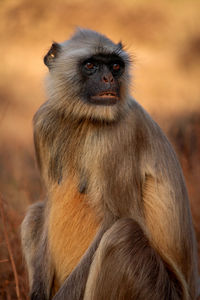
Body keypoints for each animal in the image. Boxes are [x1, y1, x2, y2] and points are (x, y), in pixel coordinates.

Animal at [21, 28, 199, 300]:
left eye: (115, 66)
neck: (84, 118)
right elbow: (49, 203)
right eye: (91, 65)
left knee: (122, 234)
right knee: (35, 213)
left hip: (157, 289)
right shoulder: (43, 121)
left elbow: (116, 218)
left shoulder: (122, 131)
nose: (108, 79)